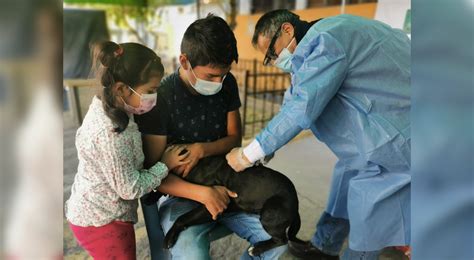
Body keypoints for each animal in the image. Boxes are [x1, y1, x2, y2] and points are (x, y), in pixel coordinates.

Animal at [161, 154, 302, 256]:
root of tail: (296, 203)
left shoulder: (210, 205)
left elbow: (182, 218)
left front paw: (169, 237)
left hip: (269, 215)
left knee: (282, 240)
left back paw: (256, 249)